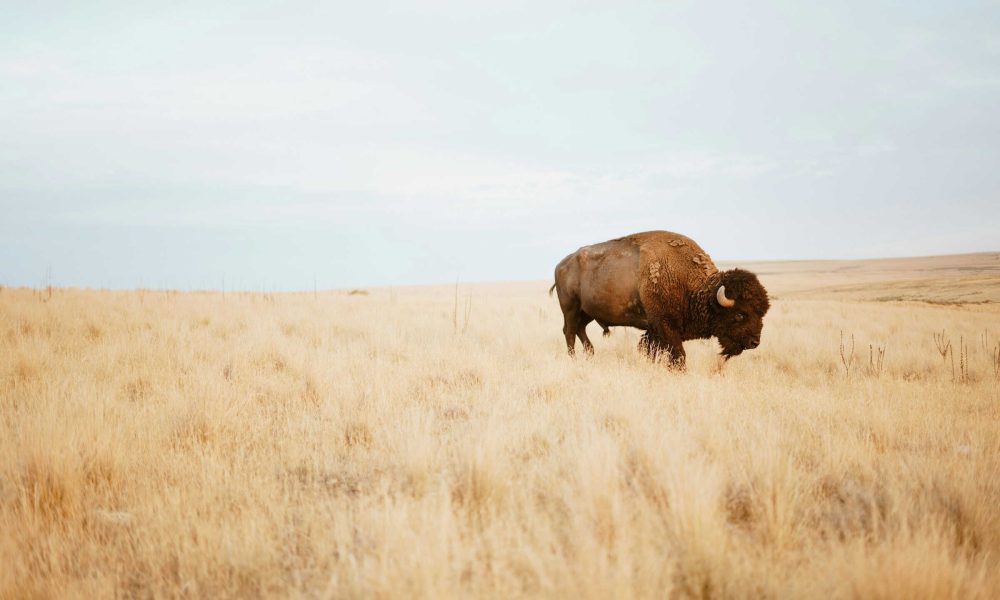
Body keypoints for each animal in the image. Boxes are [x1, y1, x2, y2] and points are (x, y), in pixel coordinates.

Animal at [550, 231, 770, 367]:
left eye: (762, 313)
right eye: (740, 314)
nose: (754, 342)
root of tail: (561, 264)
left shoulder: (654, 330)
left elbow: (650, 350)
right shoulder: (665, 326)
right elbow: (678, 355)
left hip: (587, 312)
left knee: (580, 330)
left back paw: (590, 354)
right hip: (570, 308)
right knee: (569, 332)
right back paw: (574, 359)